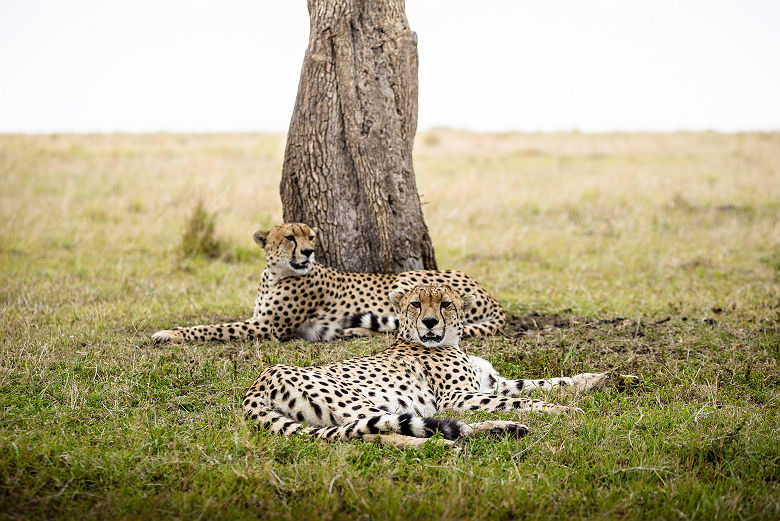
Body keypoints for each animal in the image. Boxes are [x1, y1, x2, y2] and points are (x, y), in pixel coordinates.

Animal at [152, 221, 506, 344]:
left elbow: (211, 328)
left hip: (406, 277)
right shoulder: (259, 320)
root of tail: (489, 294)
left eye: (310, 237)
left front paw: (170, 334)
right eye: (290, 237)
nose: (308, 251)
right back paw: (352, 331)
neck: (276, 274)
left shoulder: (268, 328)